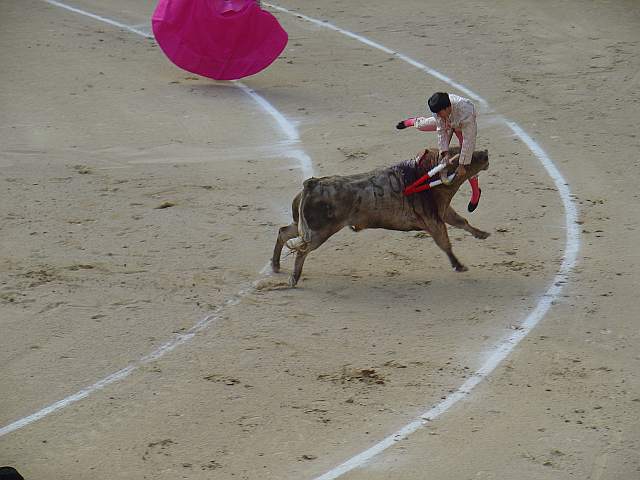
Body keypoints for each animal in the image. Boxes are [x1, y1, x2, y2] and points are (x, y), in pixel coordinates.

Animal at [270, 146, 490, 286]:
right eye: (465, 157)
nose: (486, 153)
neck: (428, 175)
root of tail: (312, 183)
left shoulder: (443, 211)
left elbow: (462, 222)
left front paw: (482, 234)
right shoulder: (433, 220)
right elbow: (445, 243)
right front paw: (459, 265)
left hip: (304, 226)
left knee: (283, 233)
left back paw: (275, 265)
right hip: (319, 232)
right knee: (302, 251)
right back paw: (293, 279)